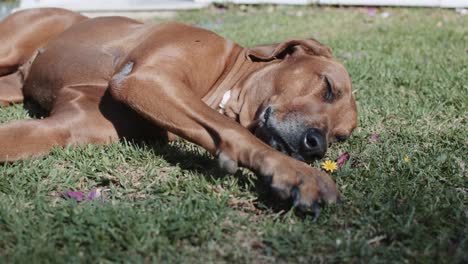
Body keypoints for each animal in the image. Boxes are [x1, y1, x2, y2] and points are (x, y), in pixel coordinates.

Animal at [0, 8, 358, 214]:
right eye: (328, 86)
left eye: (340, 137)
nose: (316, 146)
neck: (227, 76)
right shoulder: (148, 78)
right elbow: (231, 129)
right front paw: (298, 173)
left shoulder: (63, 126)